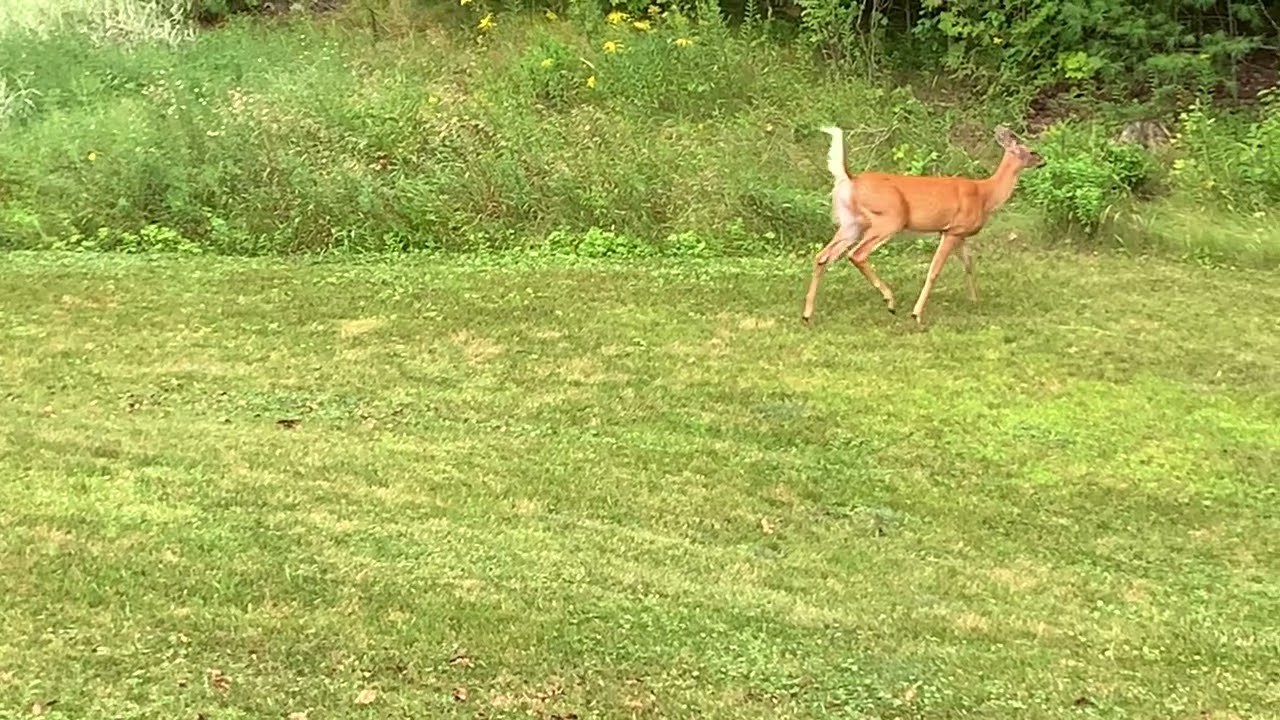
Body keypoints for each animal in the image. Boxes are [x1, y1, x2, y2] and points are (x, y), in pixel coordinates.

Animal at [801, 124, 1045, 326]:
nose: (1043, 161)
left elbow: (968, 264)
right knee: (857, 254)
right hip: (889, 218)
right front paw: (917, 314)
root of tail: (850, 179)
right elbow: (934, 271)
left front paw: (975, 300)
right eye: (1032, 151)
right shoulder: (953, 230)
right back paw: (890, 302)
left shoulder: (957, 232)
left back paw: (807, 314)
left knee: (822, 256)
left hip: (851, 224)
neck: (986, 194)